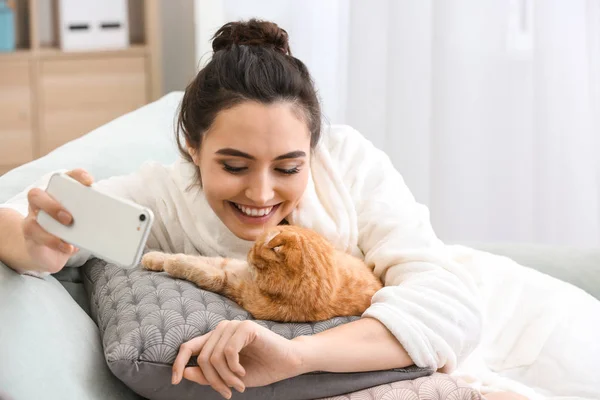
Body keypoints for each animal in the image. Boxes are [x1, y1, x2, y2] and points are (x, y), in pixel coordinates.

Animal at [142, 225, 380, 322]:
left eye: (255, 248)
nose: (247, 253)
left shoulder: (232, 285)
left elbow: (207, 273)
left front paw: (172, 263)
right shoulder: (231, 265)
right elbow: (203, 259)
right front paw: (154, 258)